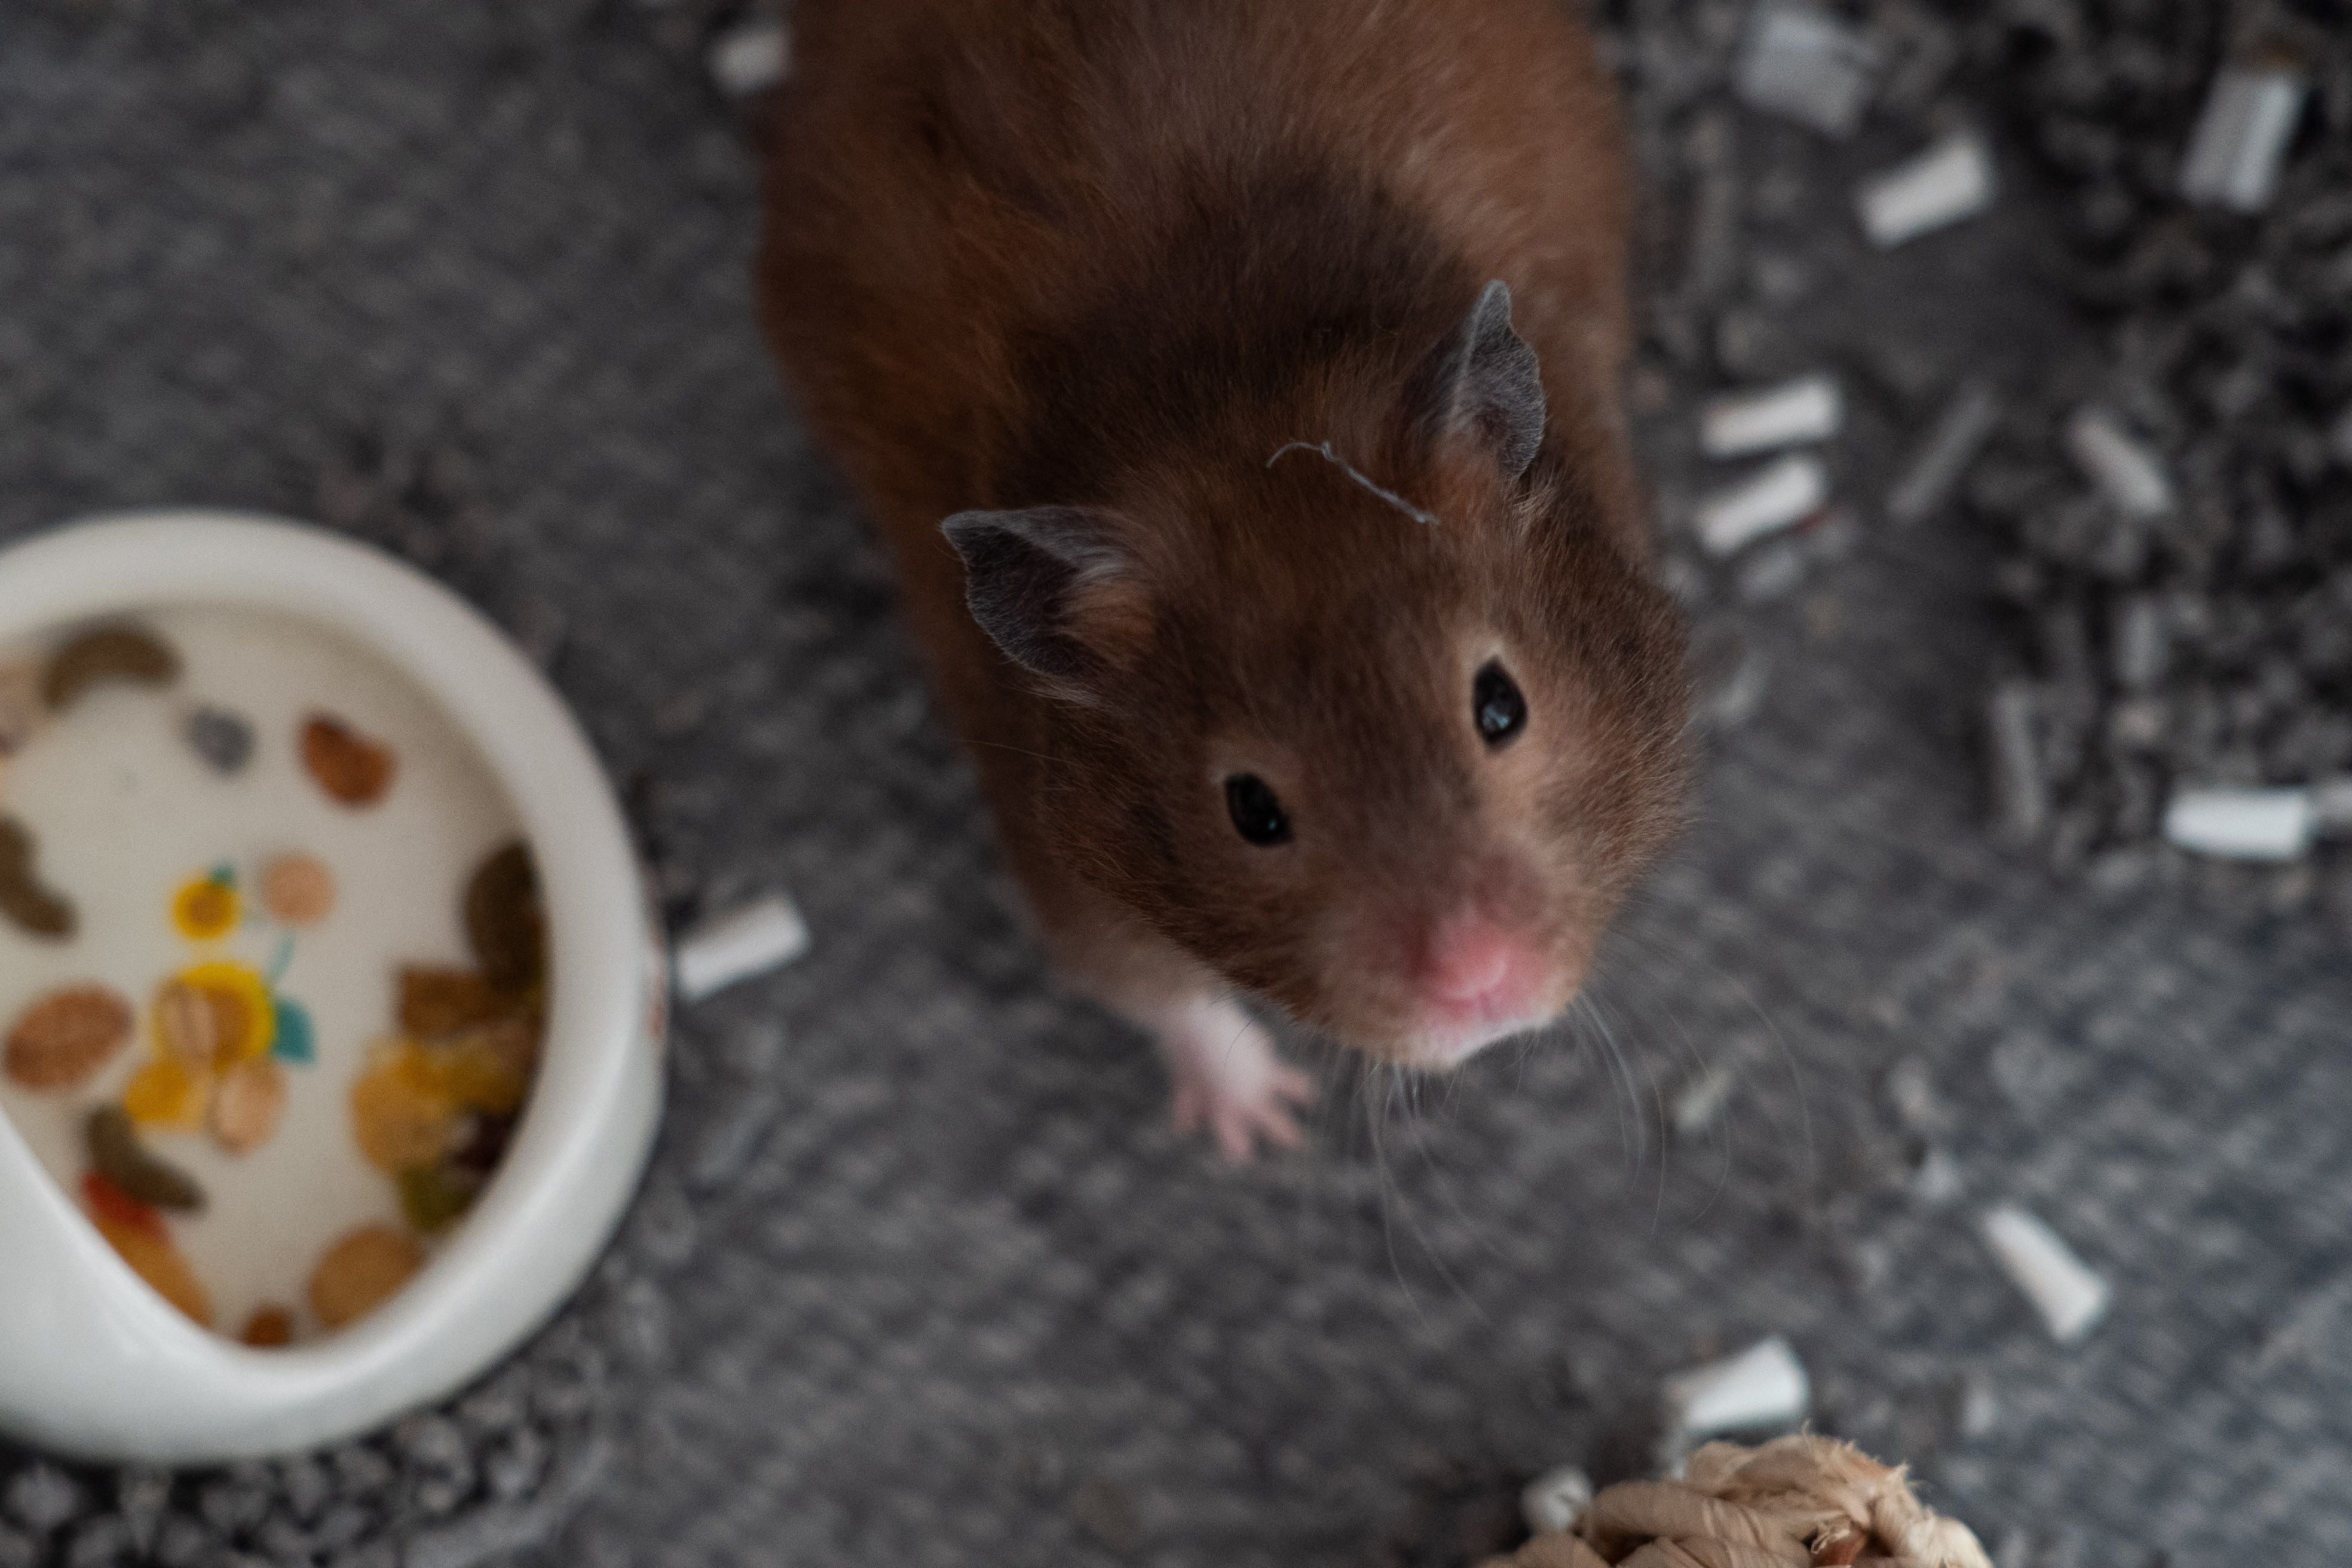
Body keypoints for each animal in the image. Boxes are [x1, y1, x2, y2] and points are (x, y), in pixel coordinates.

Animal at [757, 0, 1690, 1159]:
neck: (1234, 399)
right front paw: (1264, 1130)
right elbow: (1155, 991)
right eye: (1251, 810)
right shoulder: (1061, 857)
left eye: (1501, 707)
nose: (1484, 990)